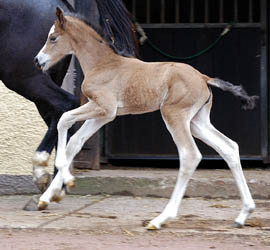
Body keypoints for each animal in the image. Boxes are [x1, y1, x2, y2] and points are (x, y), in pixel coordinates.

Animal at [35, 7, 258, 230]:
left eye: (53, 37)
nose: (38, 60)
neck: (103, 64)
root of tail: (204, 78)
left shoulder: (104, 108)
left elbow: (64, 119)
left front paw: (66, 180)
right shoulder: (104, 115)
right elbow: (75, 142)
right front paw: (47, 197)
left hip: (174, 115)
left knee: (190, 155)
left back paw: (161, 219)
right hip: (197, 122)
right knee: (229, 147)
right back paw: (243, 214)